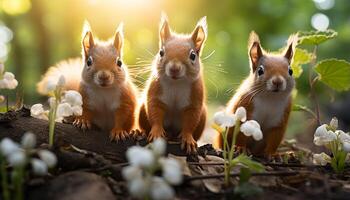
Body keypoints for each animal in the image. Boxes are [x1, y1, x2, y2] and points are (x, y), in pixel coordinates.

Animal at [137, 15, 208, 153]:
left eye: (193, 55)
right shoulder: (156, 92)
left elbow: (190, 121)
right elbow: (155, 112)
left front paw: (188, 138)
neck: (176, 83)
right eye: (161, 52)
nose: (174, 68)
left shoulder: (195, 99)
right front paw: (157, 132)